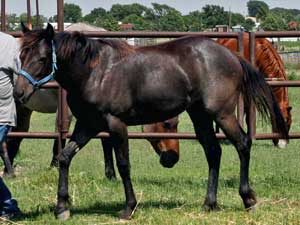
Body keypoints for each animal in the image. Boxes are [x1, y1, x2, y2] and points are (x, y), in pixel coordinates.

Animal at [14, 23, 288, 221]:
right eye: (21, 55)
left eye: (41, 59)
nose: (19, 93)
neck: (95, 72)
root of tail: (232, 55)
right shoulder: (87, 125)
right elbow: (64, 157)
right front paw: (62, 207)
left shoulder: (116, 125)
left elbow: (124, 165)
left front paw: (129, 208)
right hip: (199, 115)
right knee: (213, 152)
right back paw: (209, 204)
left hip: (222, 114)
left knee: (242, 144)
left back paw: (248, 199)